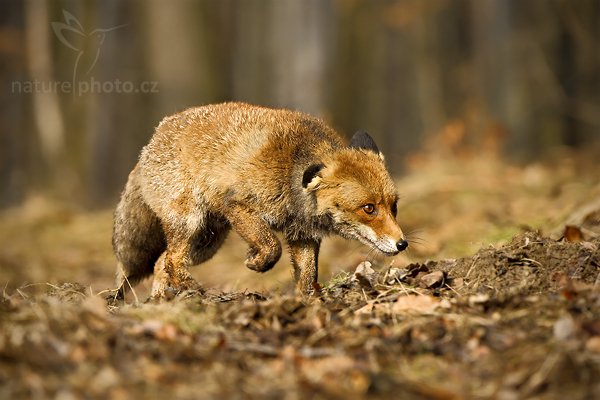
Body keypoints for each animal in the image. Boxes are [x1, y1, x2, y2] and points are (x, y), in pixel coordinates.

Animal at [111, 103, 408, 296]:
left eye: (393, 207)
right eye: (368, 208)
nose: (402, 244)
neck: (289, 174)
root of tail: (151, 140)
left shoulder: (303, 236)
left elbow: (307, 276)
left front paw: (309, 303)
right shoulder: (238, 206)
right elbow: (271, 246)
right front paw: (256, 262)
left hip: (205, 243)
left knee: (162, 262)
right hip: (190, 224)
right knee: (171, 261)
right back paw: (195, 291)